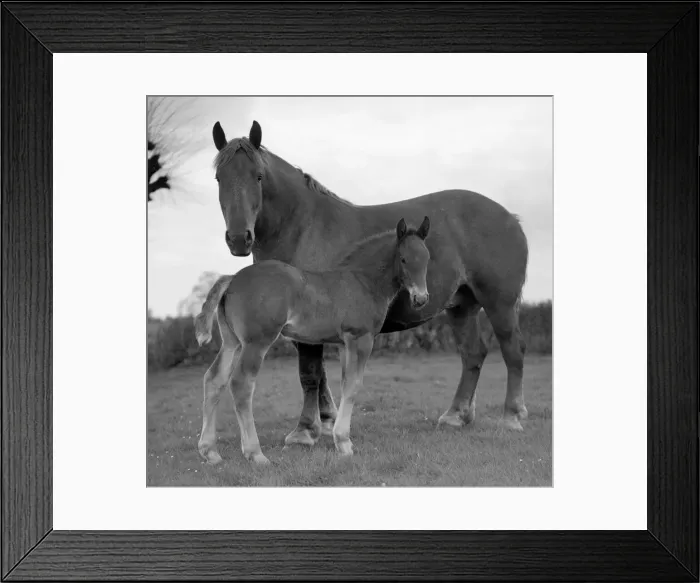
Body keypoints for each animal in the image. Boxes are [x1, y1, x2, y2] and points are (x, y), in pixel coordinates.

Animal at [194, 217, 432, 464]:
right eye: (403, 259)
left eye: (426, 258)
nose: (421, 299)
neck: (363, 282)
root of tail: (232, 278)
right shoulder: (361, 339)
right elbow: (354, 385)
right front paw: (343, 443)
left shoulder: (344, 343)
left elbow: (346, 384)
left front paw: (343, 441)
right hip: (256, 342)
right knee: (241, 383)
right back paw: (255, 453)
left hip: (232, 343)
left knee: (214, 379)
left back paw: (210, 451)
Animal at [210, 120, 529, 449]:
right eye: (219, 177)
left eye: (258, 176)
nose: (239, 239)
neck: (302, 228)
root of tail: (511, 219)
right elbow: (319, 377)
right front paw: (324, 422)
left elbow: (309, 375)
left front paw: (305, 430)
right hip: (461, 307)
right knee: (473, 354)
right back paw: (456, 415)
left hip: (500, 303)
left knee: (512, 350)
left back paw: (512, 416)